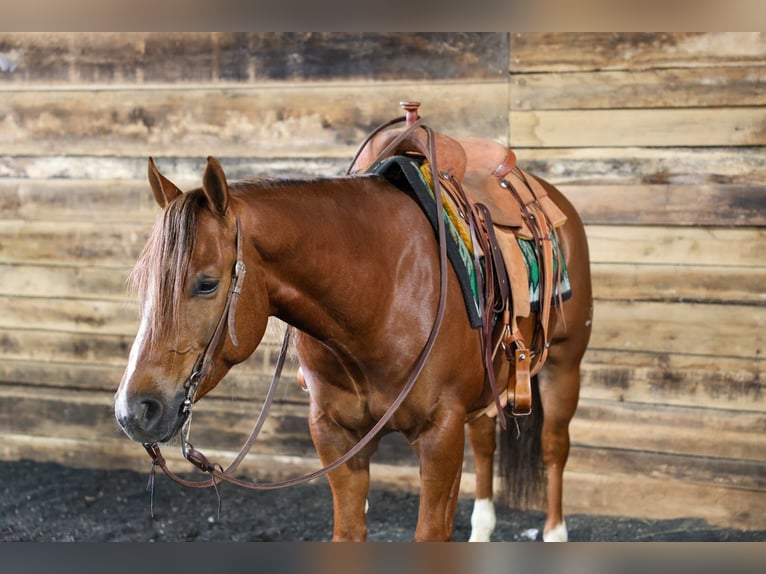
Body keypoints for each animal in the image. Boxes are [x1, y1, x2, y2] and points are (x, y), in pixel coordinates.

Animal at [114, 146, 592, 541]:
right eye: (143, 282)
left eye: (207, 283)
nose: (133, 410)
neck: (379, 294)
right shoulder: (335, 435)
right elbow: (349, 531)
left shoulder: (439, 433)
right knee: (485, 444)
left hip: (563, 366)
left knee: (554, 446)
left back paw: (554, 533)